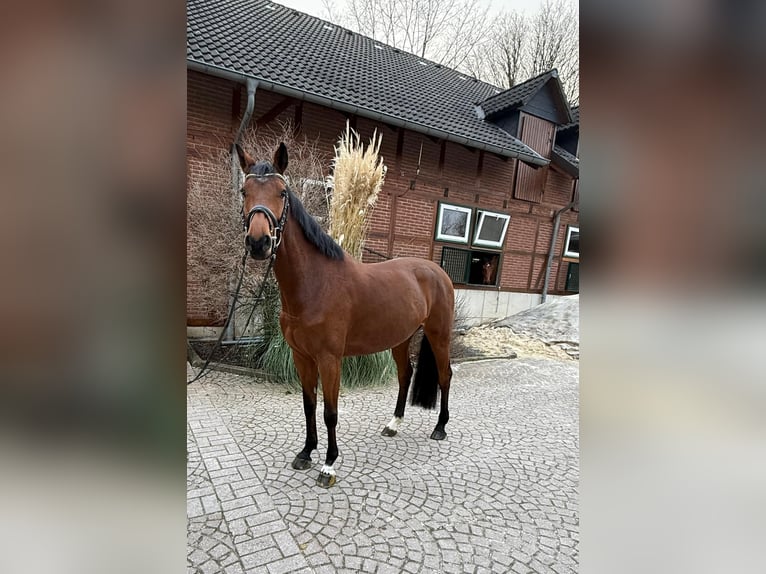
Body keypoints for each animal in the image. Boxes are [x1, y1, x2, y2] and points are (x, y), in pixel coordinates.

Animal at [235, 142, 454, 487]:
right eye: (244, 191)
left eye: (282, 193)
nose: (259, 242)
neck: (315, 283)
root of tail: (436, 271)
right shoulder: (302, 356)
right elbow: (309, 405)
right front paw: (306, 453)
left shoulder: (329, 359)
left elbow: (330, 412)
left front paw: (328, 465)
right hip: (401, 338)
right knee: (405, 375)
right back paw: (393, 424)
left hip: (439, 335)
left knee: (445, 375)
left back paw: (440, 428)